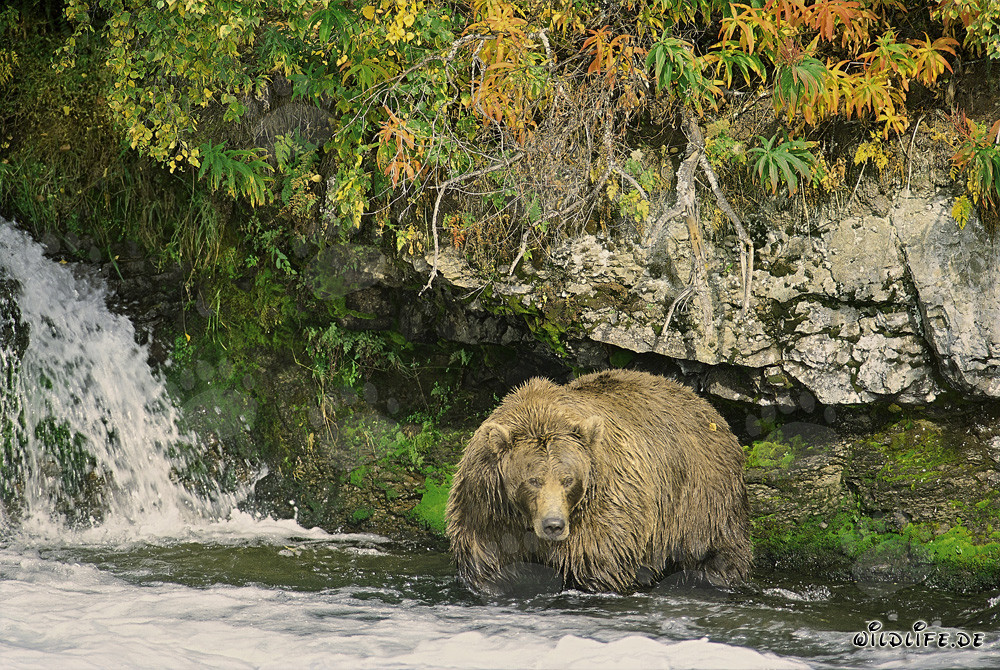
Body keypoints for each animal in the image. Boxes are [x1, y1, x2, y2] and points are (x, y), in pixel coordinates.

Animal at [445, 369, 752, 595]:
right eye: (533, 480)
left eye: (568, 479)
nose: (554, 525)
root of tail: (705, 404)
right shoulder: (487, 510)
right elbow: (488, 566)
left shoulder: (603, 509)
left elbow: (600, 563)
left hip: (701, 497)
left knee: (718, 549)